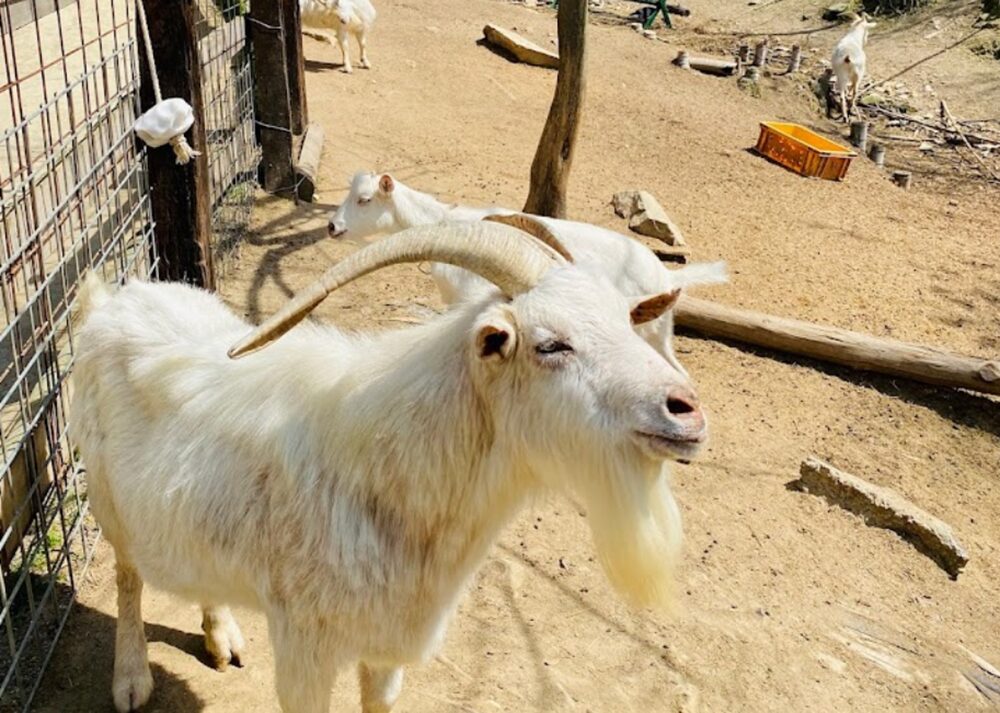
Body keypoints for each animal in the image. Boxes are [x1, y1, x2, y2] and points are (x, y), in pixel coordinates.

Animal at [70, 222, 712, 712]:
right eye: (550, 344)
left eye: (628, 323)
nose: (687, 410)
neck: (390, 466)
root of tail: (113, 300)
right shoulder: (303, 647)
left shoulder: (385, 648)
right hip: (108, 502)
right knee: (128, 577)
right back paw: (131, 680)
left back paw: (221, 636)